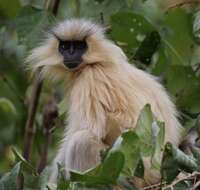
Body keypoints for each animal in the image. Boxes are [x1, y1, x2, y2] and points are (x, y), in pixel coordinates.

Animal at [26, 18, 181, 188]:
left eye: (79, 46)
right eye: (65, 46)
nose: (71, 53)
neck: (97, 63)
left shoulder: (89, 80)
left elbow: (89, 130)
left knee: (81, 142)